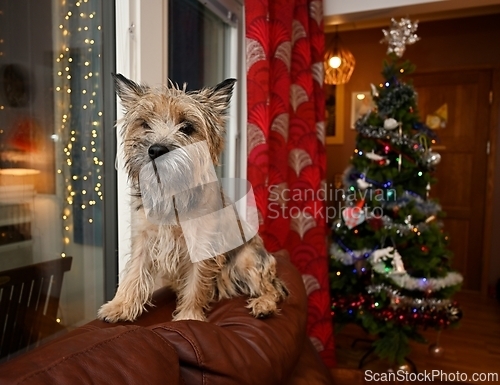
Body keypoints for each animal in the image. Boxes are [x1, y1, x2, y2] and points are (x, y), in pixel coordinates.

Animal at [97, 74, 288, 320]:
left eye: (187, 127)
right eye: (145, 124)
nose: (156, 150)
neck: (172, 191)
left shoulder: (202, 244)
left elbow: (196, 285)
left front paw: (189, 317)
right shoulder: (145, 238)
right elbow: (134, 272)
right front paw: (121, 305)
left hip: (248, 258)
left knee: (272, 288)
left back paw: (264, 304)